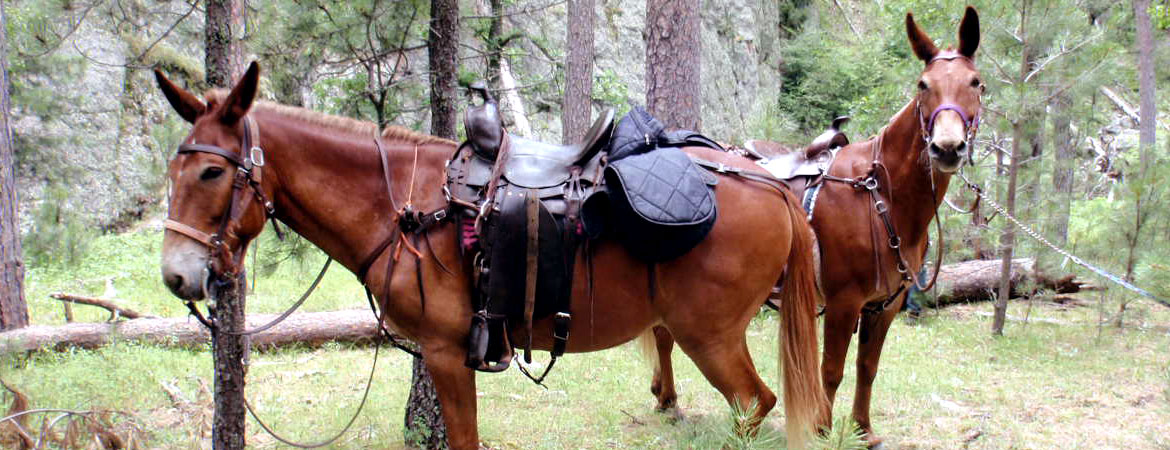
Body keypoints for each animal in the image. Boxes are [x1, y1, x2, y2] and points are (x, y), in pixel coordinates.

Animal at [155, 63, 830, 448]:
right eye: (173, 171)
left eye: (213, 172)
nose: (176, 274)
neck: (409, 205)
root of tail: (766, 180)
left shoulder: (445, 353)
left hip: (709, 335)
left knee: (756, 406)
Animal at [642, 7, 984, 447]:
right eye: (923, 85)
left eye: (975, 83)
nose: (947, 147)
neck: (879, 196)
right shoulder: (843, 302)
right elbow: (832, 370)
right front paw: (822, 428)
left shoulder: (884, 306)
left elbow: (867, 368)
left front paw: (863, 429)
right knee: (665, 335)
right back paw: (668, 399)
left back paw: (665, 397)